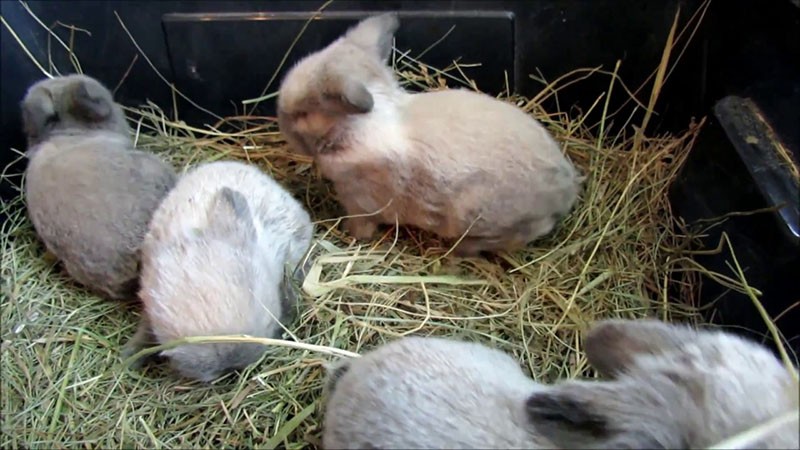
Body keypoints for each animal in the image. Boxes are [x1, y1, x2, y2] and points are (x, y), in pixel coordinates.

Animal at [278, 12, 584, 256]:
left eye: (303, 113)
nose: (282, 121)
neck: (355, 128)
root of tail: (567, 190)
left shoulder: (360, 203)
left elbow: (361, 226)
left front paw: (347, 233)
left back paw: (458, 253)